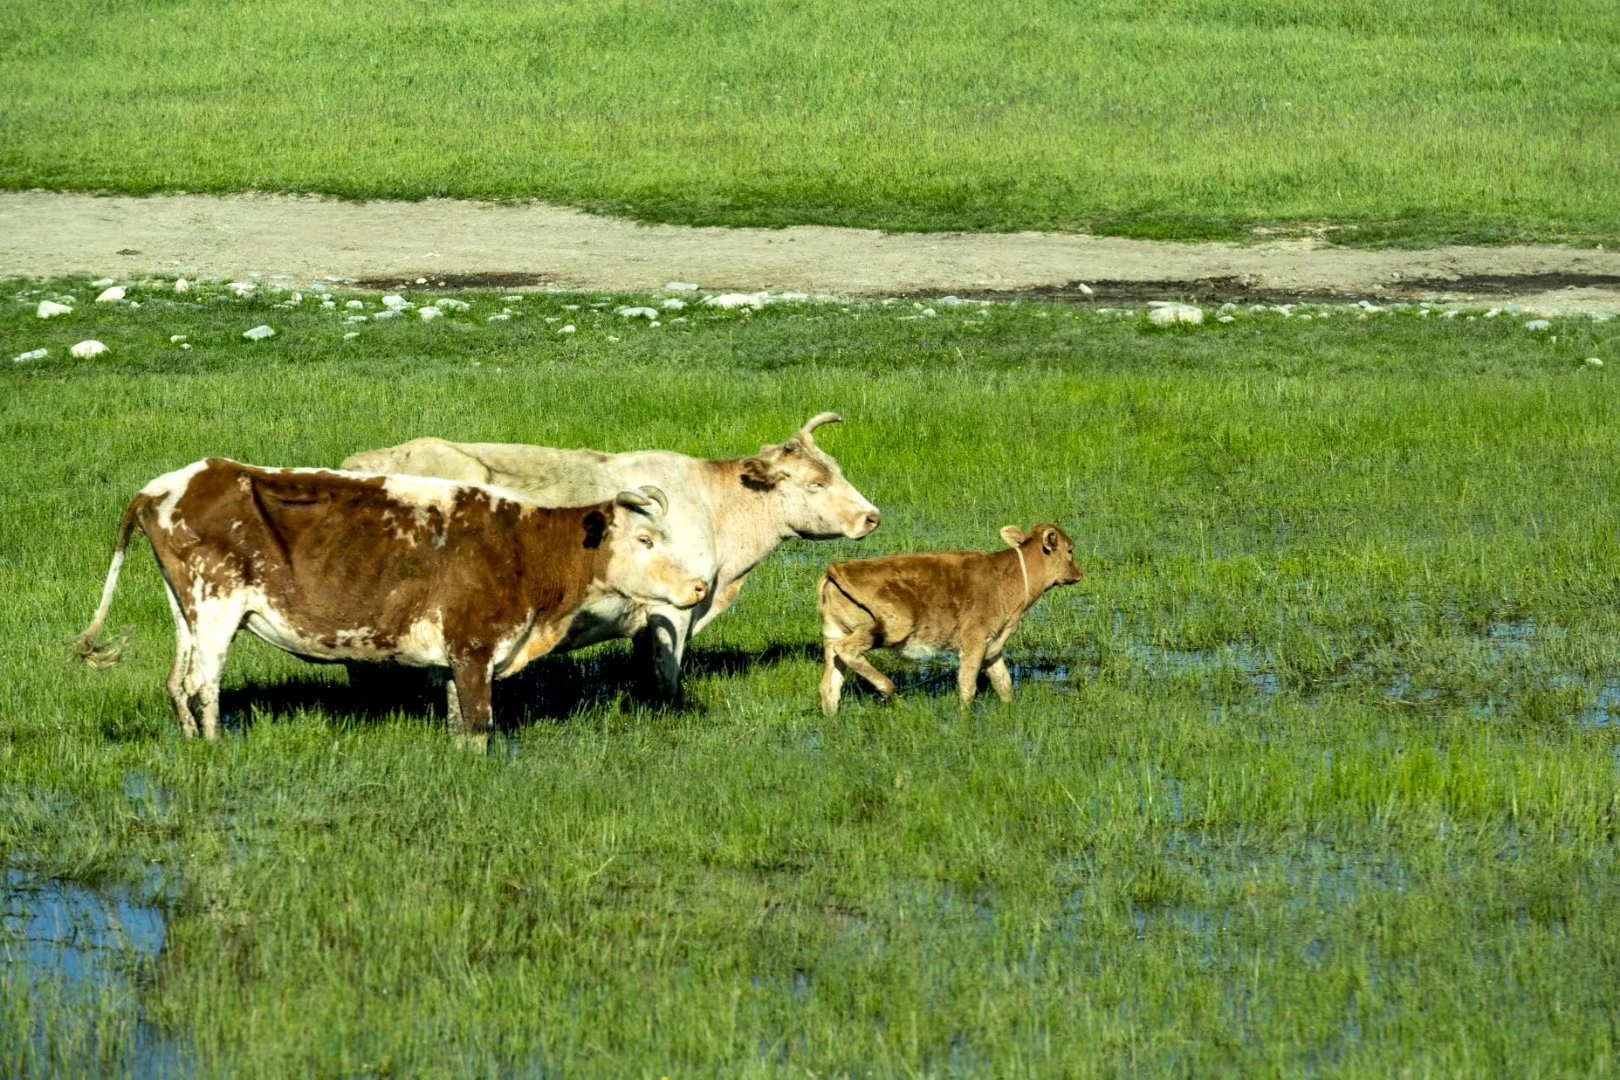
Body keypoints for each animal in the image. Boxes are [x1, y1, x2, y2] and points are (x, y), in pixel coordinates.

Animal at [74, 456, 709, 744]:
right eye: (646, 539)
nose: (699, 584)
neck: (522, 545)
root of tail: (167, 485)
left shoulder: (456, 658)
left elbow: (456, 722)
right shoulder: (474, 647)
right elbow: (479, 724)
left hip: (187, 610)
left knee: (176, 683)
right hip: (216, 609)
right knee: (205, 685)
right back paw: (213, 745)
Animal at [816, 524, 1082, 712]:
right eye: (1070, 550)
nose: (1079, 573)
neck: (1009, 577)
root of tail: (837, 568)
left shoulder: (993, 646)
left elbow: (1004, 684)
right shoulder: (973, 643)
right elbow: (967, 687)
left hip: (833, 633)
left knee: (830, 685)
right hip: (891, 628)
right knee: (848, 651)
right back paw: (887, 687)